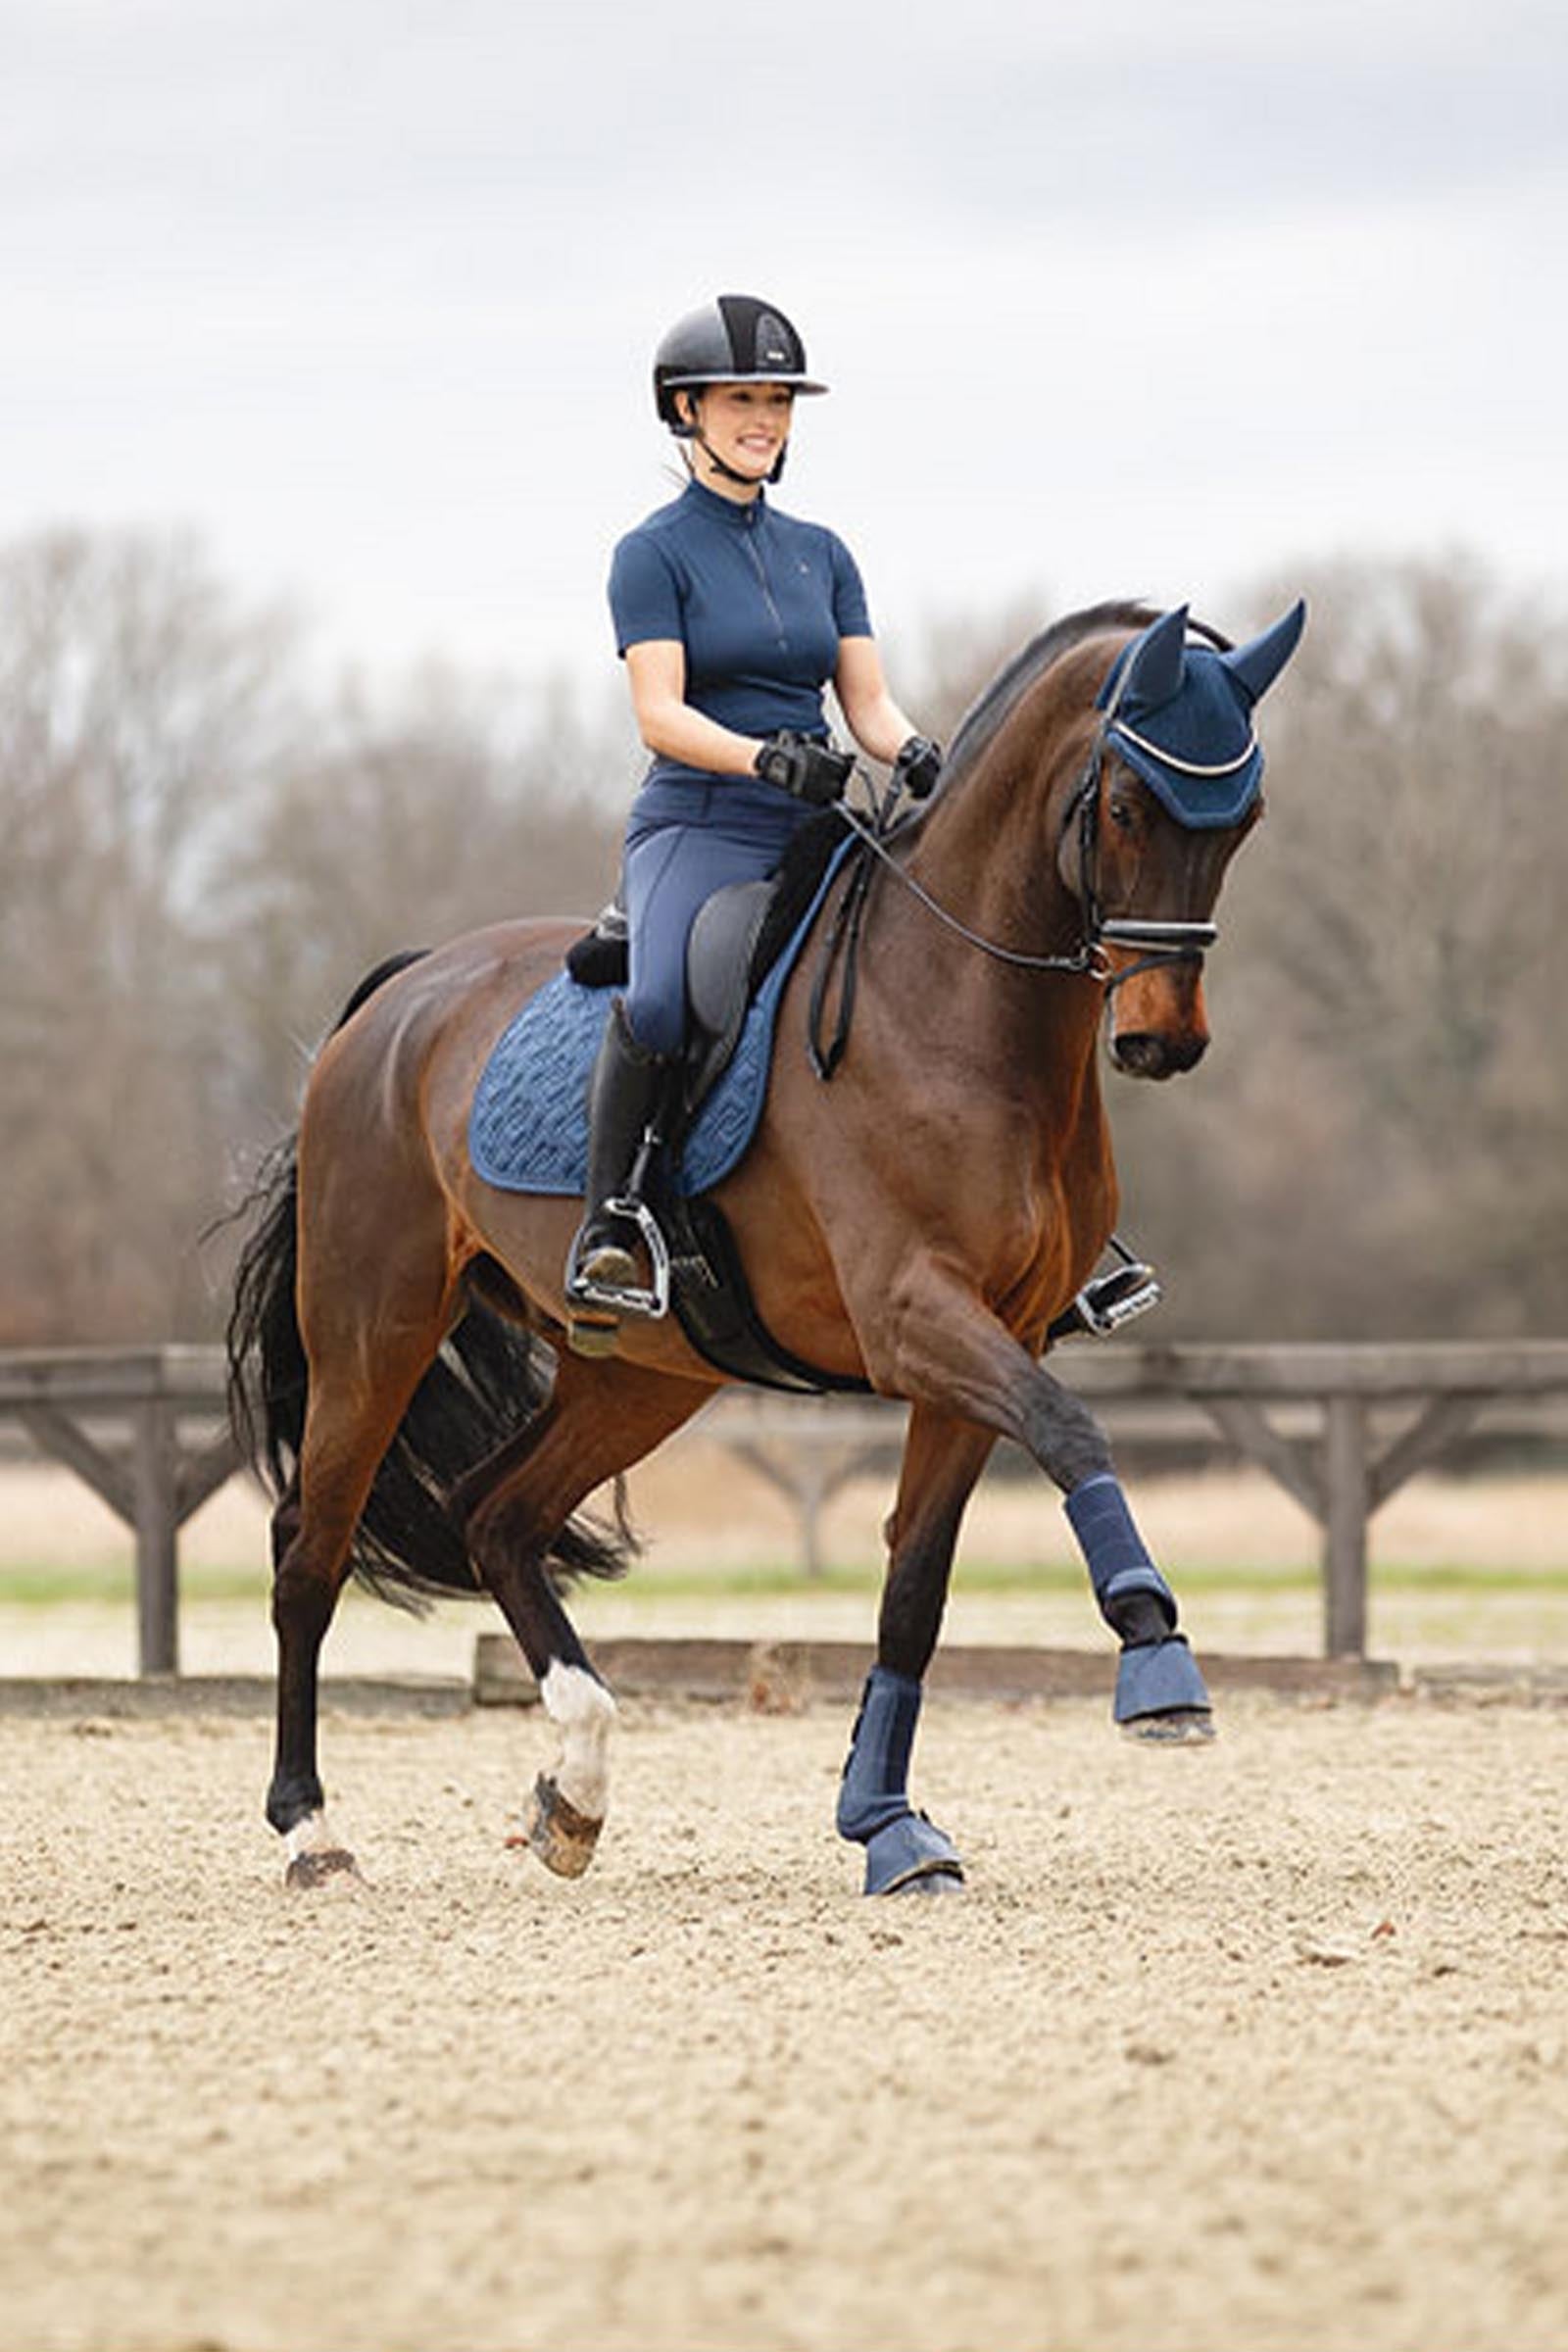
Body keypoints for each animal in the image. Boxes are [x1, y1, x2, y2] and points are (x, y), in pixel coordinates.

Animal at [228, 595, 1305, 1897]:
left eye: (1243, 817)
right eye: (1125, 806)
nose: (1161, 1040)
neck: (956, 1011)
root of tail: (392, 1003)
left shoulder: (986, 1344)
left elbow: (913, 1590)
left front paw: (886, 1825)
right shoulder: (913, 1319)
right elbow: (1070, 1431)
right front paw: (1157, 1659)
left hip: (639, 1375)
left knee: (497, 1516)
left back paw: (574, 1790)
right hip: (373, 1332)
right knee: (311, 1553)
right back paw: (309, 1830)